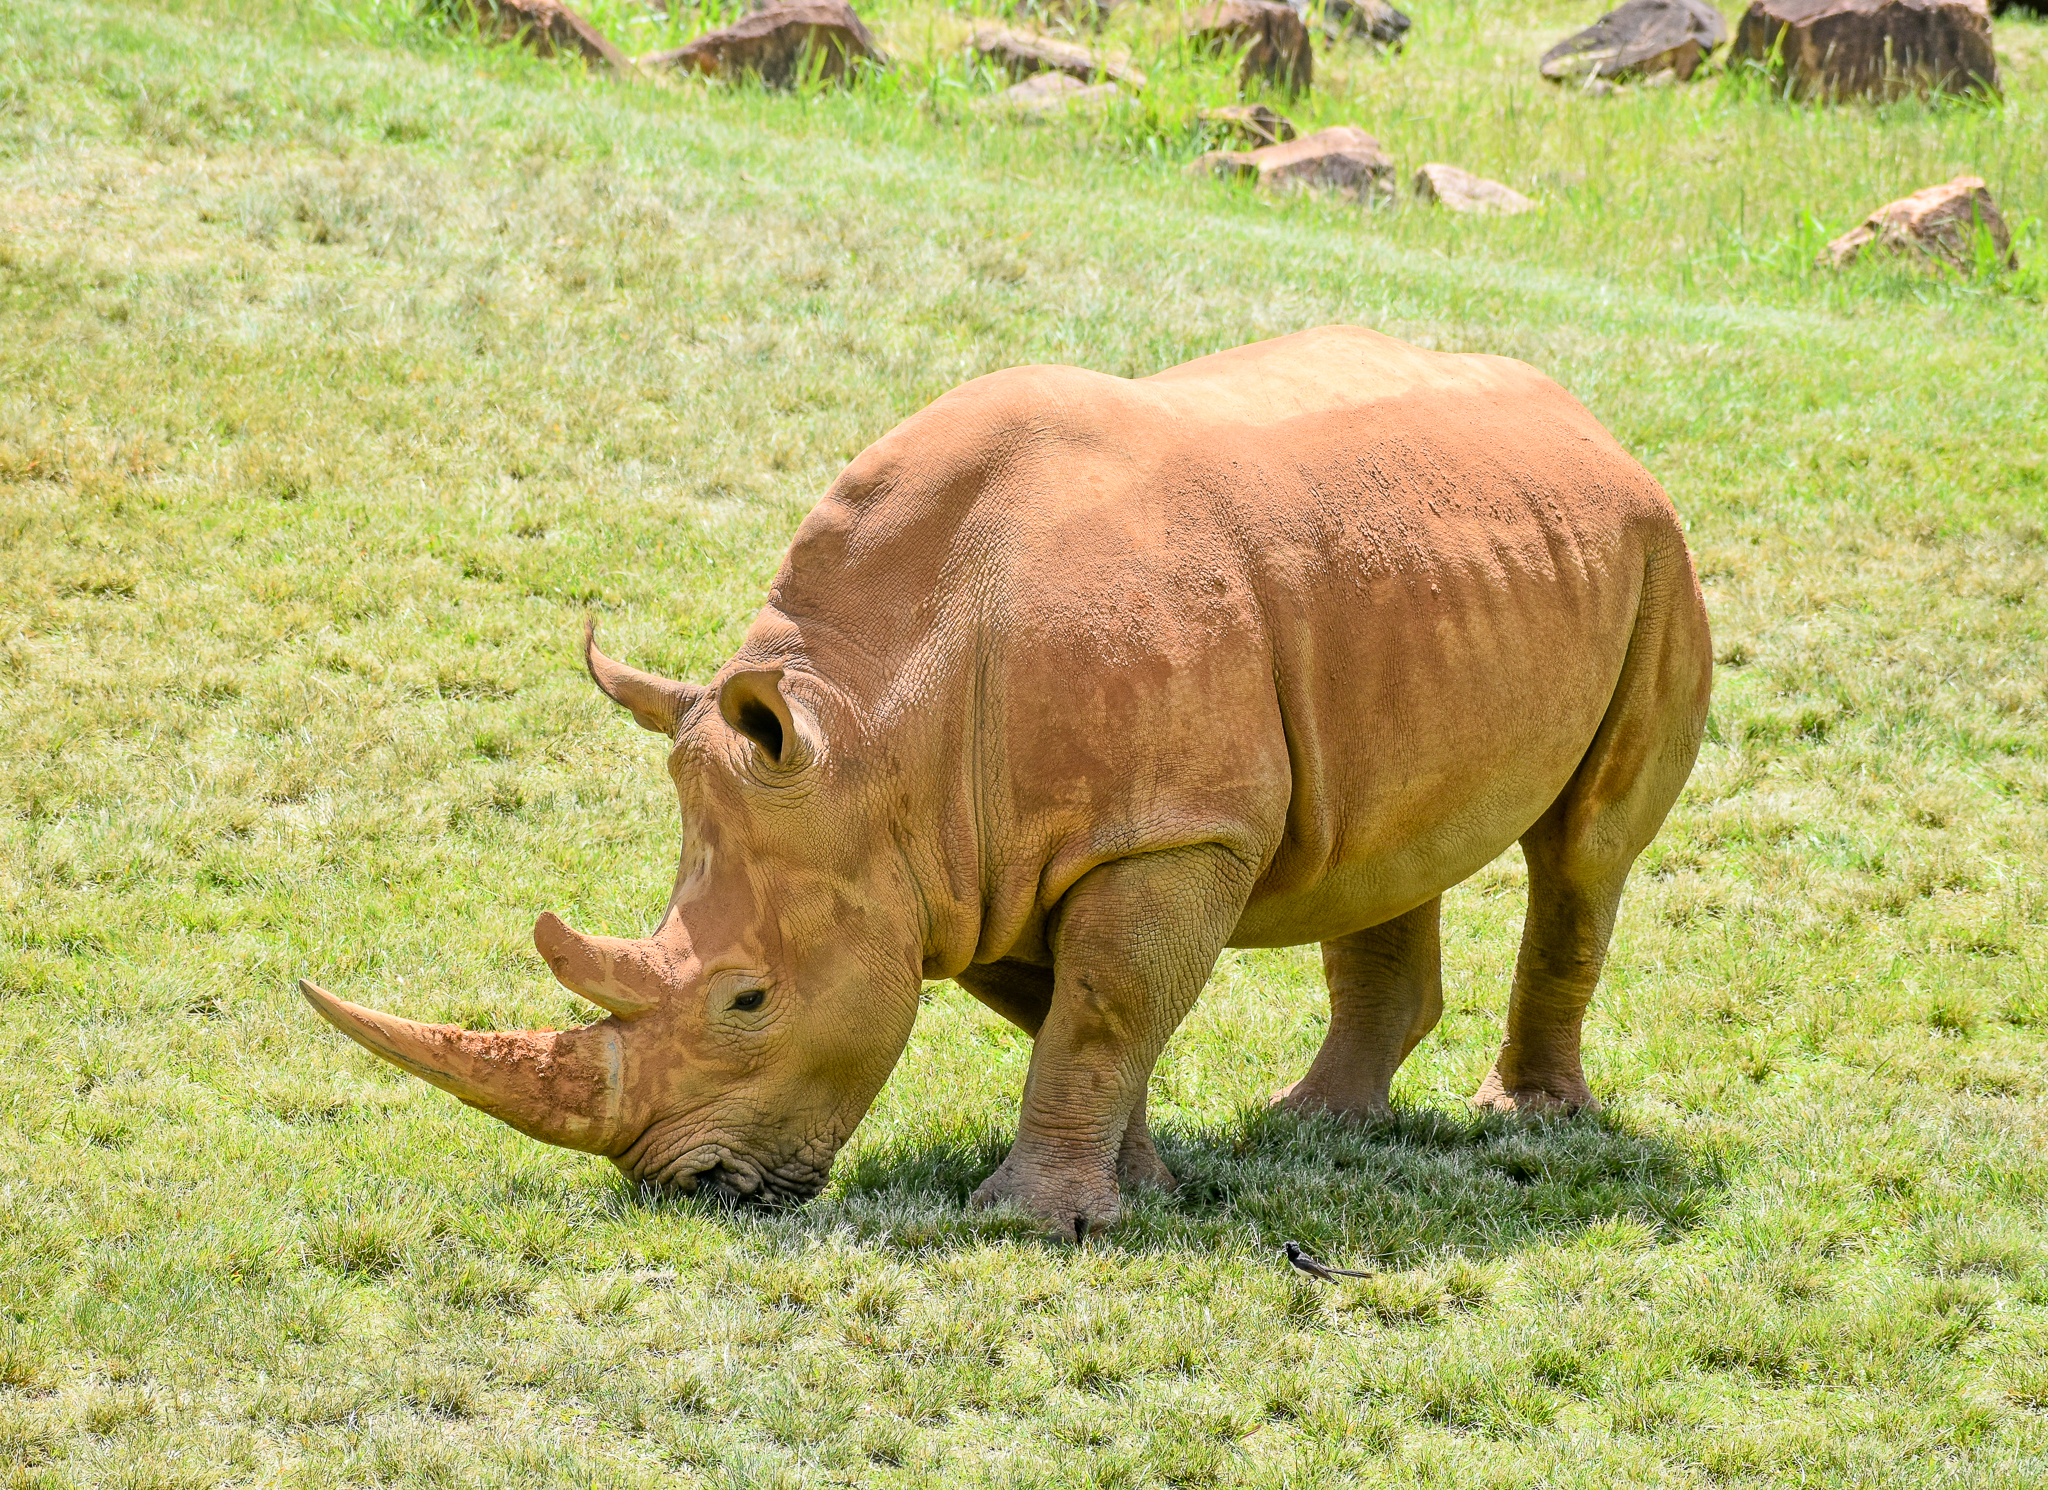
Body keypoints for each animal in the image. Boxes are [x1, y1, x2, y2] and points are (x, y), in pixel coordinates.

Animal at [303, 325, 1712, 1236]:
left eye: (748, 999)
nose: (676, 1186)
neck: (875, 728)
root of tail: (1593, 423)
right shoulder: (966, 862)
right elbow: (1075, 1014)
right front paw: (1138, 1191)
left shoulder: (1161, 831)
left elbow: (1101, 1007)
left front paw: (1036, 1223)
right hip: (1447, 560)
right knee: (1384, 840)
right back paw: (1317, 1127)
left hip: (1653, 551)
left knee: (1583, 851)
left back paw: (1524, 1119)